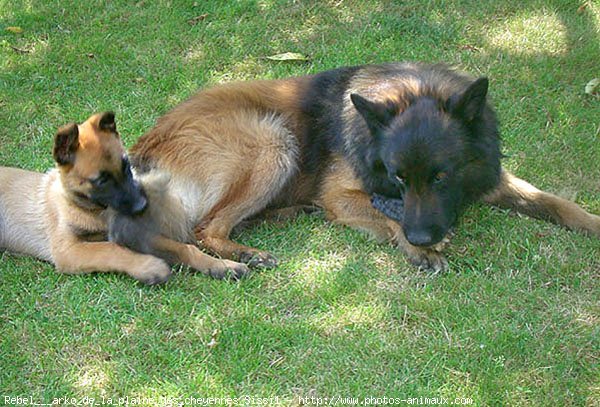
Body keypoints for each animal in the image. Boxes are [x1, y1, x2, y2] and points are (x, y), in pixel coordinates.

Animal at [0, 111, 248, 284]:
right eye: (101, 181)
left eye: (127, 166)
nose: (142, 206)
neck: (94, 211)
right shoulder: (68, 250)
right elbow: (110, 249)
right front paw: (149, 266)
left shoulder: (140, 235)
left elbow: (184, 248)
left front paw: (221, 266)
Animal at [130, 62, 600, 272]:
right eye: (397, 177)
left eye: (442, 176)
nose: (422, 235)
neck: (412, 90)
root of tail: (143, 149)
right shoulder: (342, 196)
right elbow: (384, 214)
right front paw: (416, 248)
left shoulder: (490, 177)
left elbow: (556, 202)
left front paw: (591, 221)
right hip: (274, 140)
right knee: (205, 227)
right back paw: (245, 253)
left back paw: (287, 213)